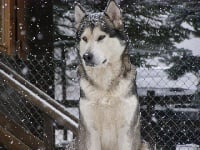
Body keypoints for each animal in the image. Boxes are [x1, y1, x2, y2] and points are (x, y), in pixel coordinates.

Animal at [74, 0, 148, 149]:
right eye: (84, 38)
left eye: (101, 37)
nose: (86, 56)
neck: (105, 89)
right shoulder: (91, 131)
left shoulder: (126, 130)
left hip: (146, 144)